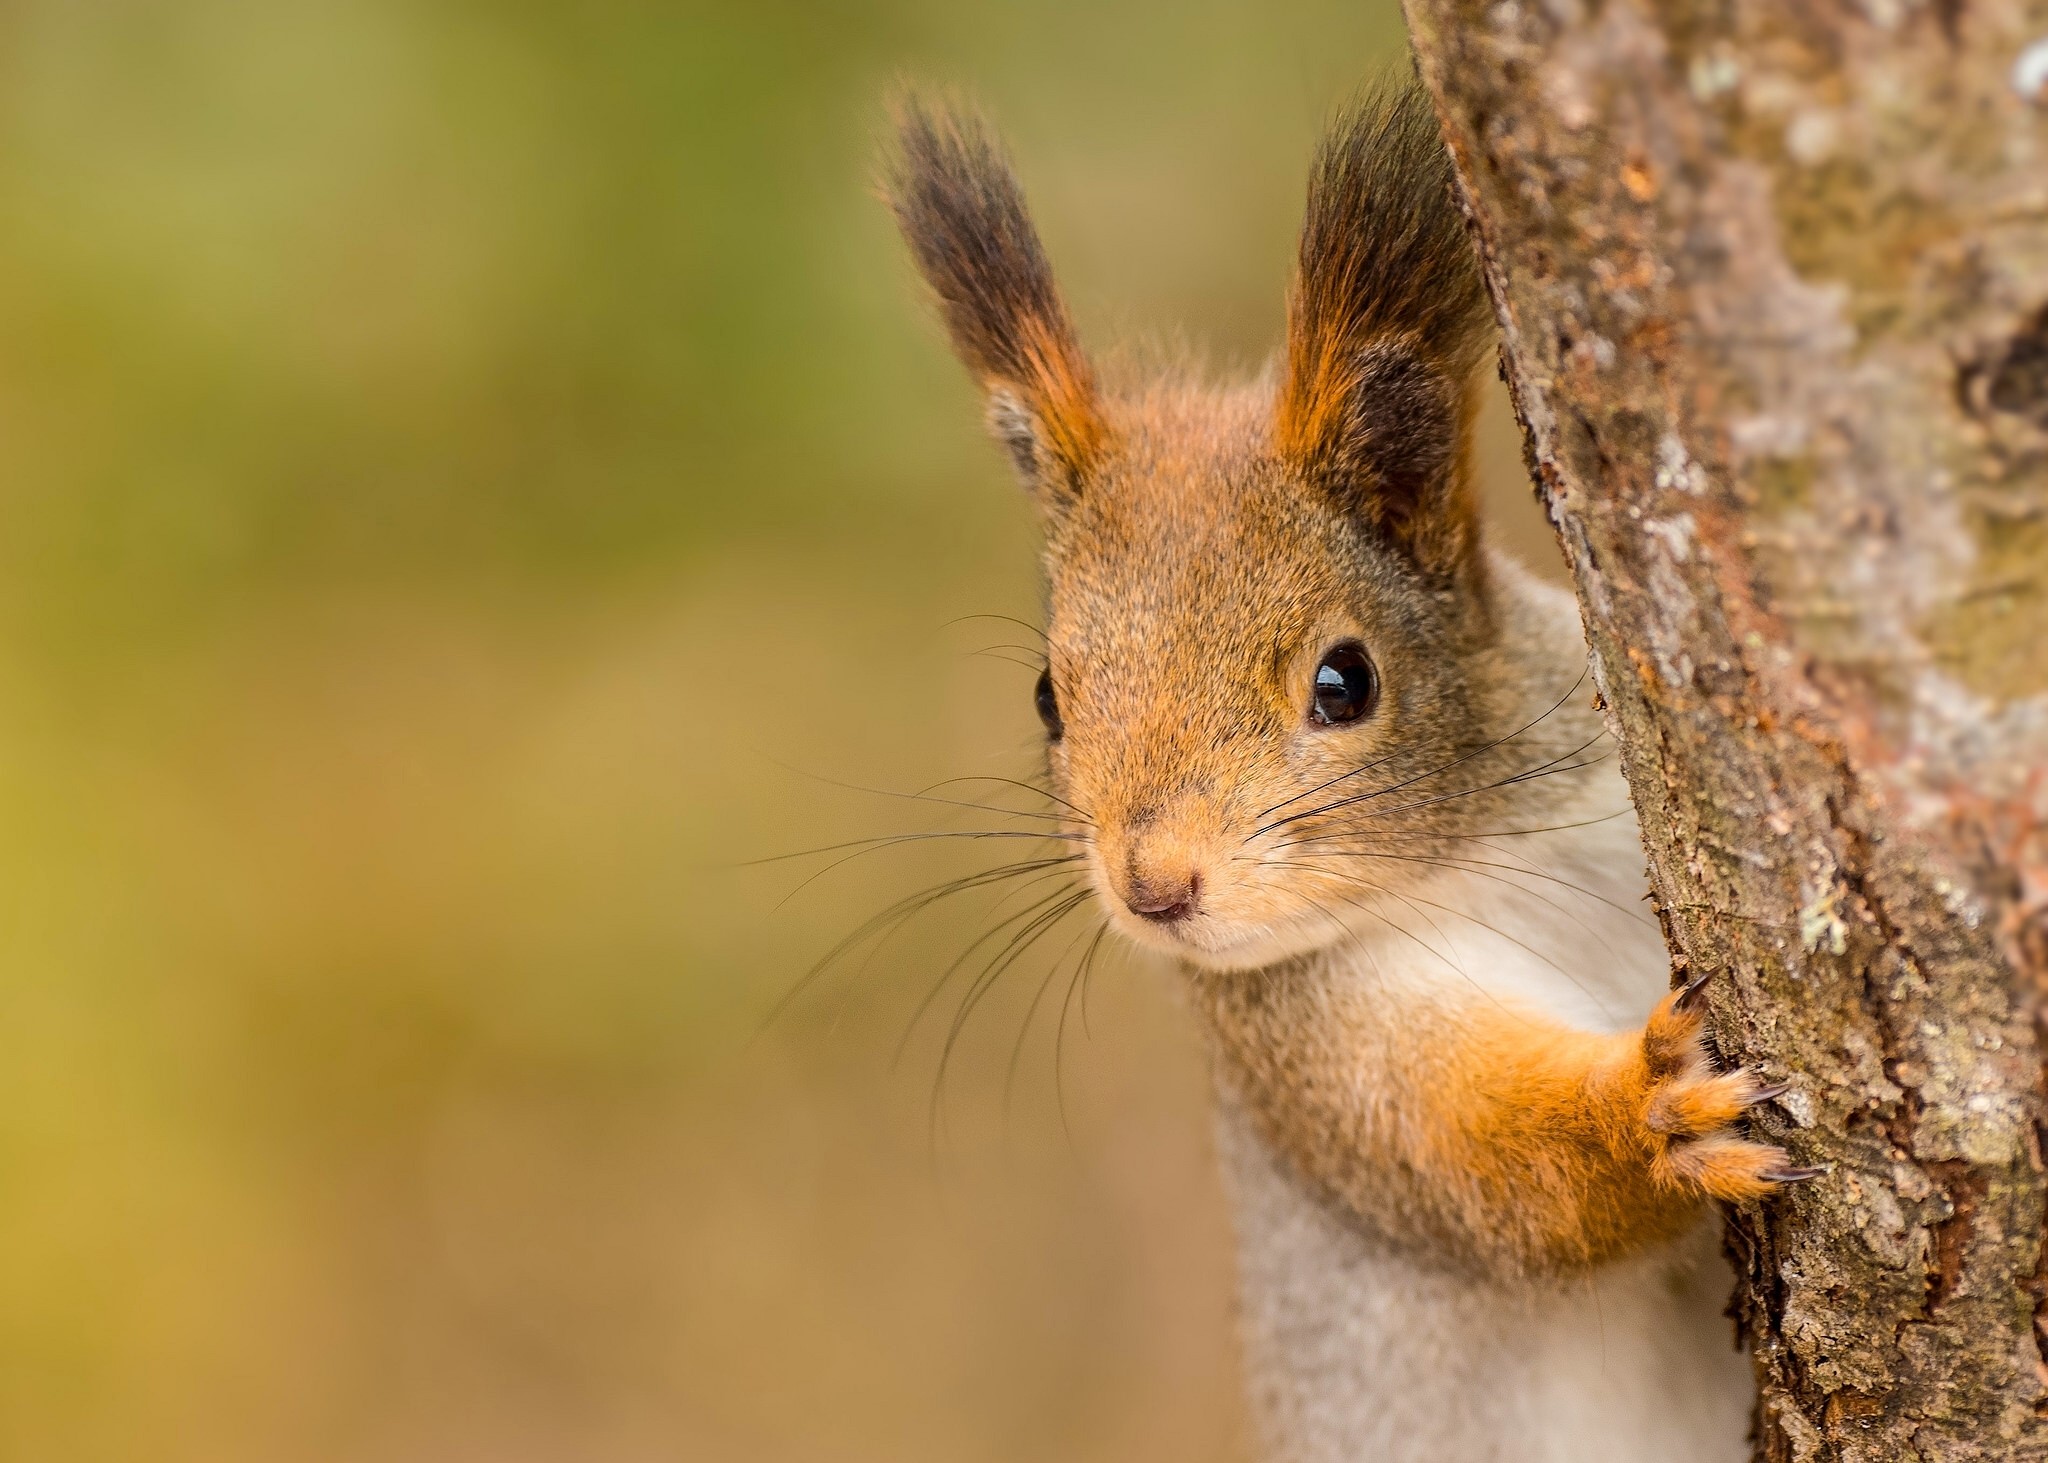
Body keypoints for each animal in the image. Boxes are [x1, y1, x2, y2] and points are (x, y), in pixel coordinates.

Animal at [883, 78, 1812, 1463]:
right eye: (1048, 697)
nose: (1154, 888)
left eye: (1344, 681)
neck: (1476, 852)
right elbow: (1493, 1177)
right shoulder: (1320, 1068)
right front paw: (1653, 1116)